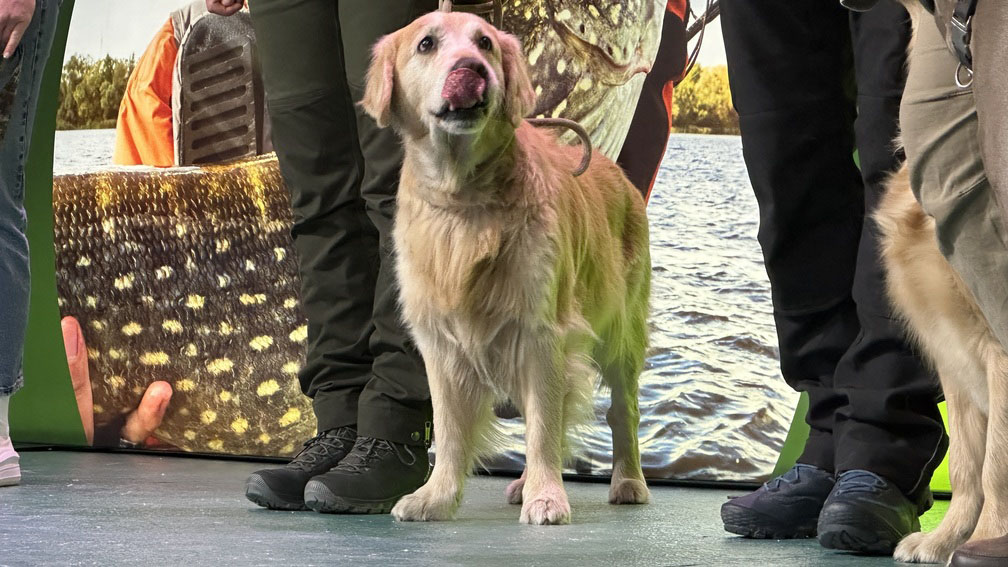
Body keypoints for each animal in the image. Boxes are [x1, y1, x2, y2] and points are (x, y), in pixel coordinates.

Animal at [360, 11, 652, 525]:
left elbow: (543, 426)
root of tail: (620, 174)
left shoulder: (542, 332)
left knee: (623, 413)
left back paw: (628, 481)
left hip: (622, 333)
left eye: (486, 44)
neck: (464, 198)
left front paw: (547, 497)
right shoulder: (441, 342)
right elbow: (450, 428)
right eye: (426, 44)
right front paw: (436, 496)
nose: (471, 69)